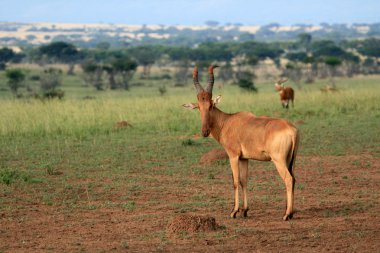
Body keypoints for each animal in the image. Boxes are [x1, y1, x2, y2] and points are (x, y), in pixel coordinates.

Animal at [184, 65, 300, 219]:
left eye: (211, 105)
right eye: (199, 107)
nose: (205, 132)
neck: (227, 121)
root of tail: (291, 129)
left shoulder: (233, 156)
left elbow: (235, 181)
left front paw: (234, 211)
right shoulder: (244, 158)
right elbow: (244, 181)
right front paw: (245, 210)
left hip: (279, 160)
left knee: (288, 179)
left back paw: (287, 215)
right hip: (291, 160)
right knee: (294, 179)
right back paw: (289, 212)